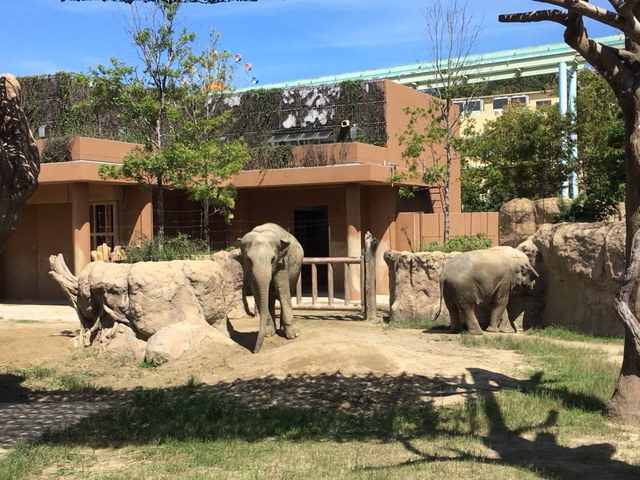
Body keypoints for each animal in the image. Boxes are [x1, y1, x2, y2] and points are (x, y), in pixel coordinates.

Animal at [240, 222, 304, 352]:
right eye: (248, 260)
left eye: (273, 259)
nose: (254, 351)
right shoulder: (249, 271)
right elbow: (257, 293)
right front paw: (268, 334)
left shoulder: (282, 263)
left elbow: (282, 290)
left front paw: (294, 335)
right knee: (270, 299)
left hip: (296, 273)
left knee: (288, 293)